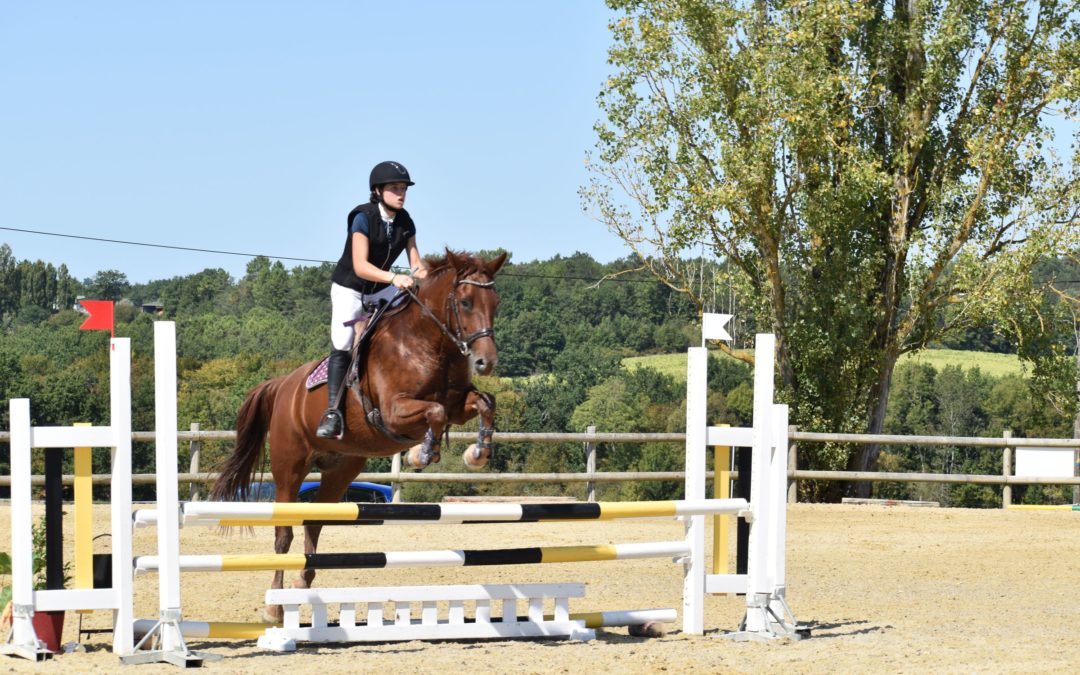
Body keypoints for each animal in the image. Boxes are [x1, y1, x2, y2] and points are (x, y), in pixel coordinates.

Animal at [214, 248, 509, 622]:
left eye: (495, 302)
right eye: (466, 302)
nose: (487, 362)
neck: (429, 341)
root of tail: (283, 385)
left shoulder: (458, 404)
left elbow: (485, 402)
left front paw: (478, 453)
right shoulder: (394, 412)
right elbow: (435, 413)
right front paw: (421, 454)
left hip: (341, 469)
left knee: (314, 522)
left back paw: (302, 584)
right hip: (289, 467)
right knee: (283, 533)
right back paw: (274, 608)